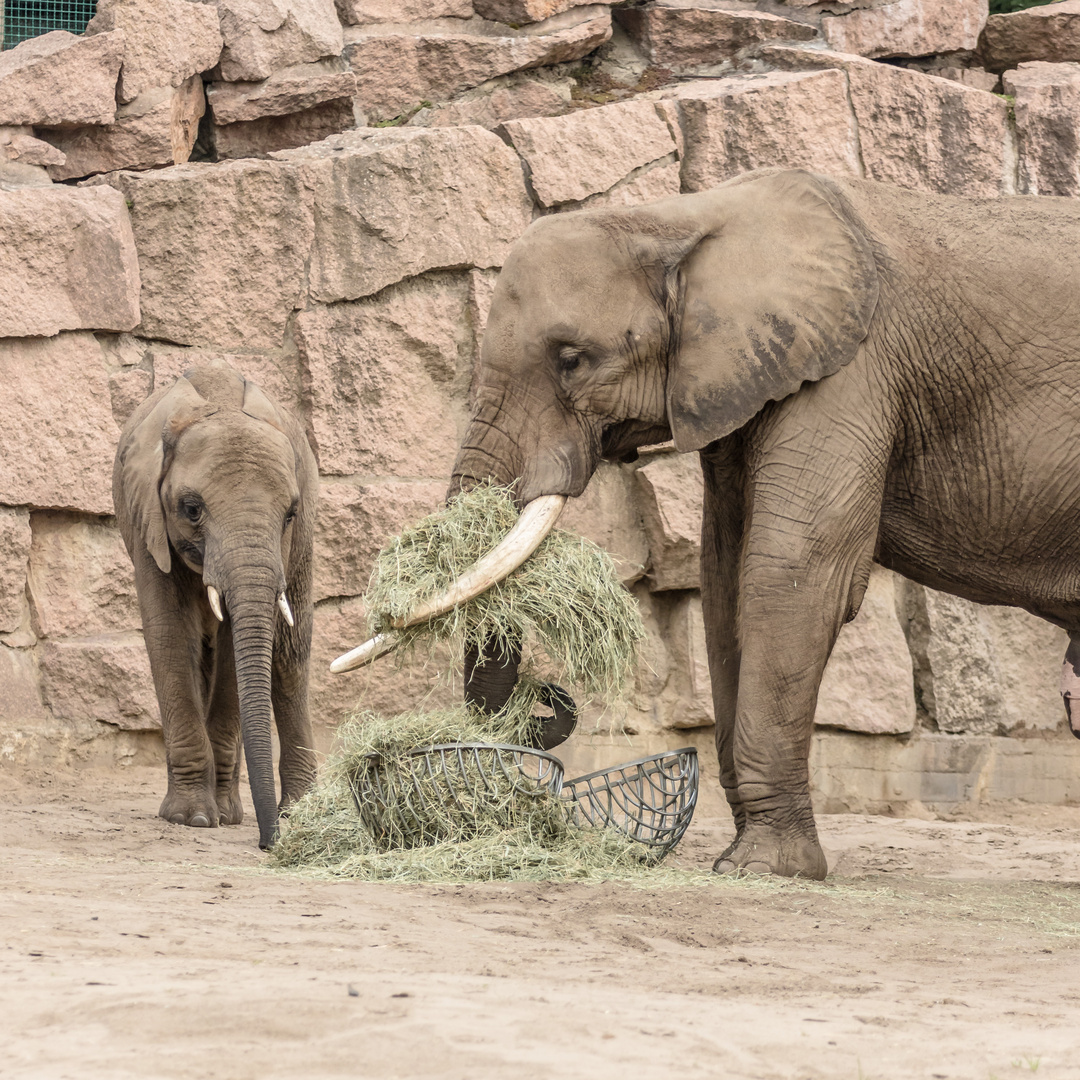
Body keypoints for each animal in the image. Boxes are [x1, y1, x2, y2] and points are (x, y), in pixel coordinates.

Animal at [113, 362, 315, 851]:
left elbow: (235, 650)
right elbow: (169, 633)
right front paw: (192, 819)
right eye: (191, 509)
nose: (267, 844)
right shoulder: (146, 520)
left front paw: (217, 815)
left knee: (289, 660)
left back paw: (292, 809)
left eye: (289, 514)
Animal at [336, 166, 1080, 876]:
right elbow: (724, 578)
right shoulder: (742, 382)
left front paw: (761, 868)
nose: (545, 697)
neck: (681, 218)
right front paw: (748, 857)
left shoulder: (850, 370)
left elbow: (789, 571)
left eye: (572, 358)